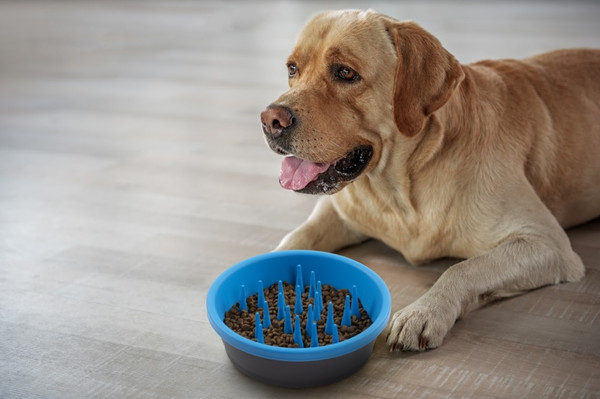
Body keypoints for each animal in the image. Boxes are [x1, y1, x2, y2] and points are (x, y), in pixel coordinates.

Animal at [258, 9, 600, 352]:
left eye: (345, 72)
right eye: (292, 69)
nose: (271, 119)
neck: (400, 189)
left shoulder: (545, 242)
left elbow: (462, 268)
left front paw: (424, 312)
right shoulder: (337, 213)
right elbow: (294, 239)